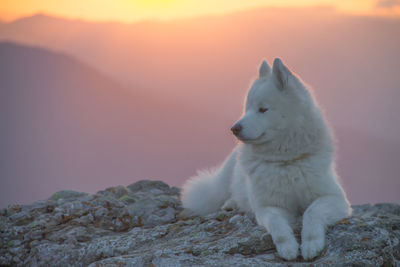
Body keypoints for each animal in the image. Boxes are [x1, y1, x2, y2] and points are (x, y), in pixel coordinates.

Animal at [180, 59, 350, 262]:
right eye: (247, 108)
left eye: (262, 109)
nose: (234, 128)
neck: (285, 162)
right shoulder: (268, 206)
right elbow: (276, 223)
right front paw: (288, 247)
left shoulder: (334, 198)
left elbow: (312, 211)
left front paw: (311, 244)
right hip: (221, 185)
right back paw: (231, 204)